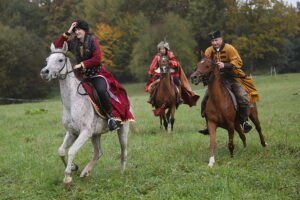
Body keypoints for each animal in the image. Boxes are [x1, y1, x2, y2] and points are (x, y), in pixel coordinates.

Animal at [39, 42, 129, 186]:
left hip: (123, 129)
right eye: (47, 60)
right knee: (98, 153)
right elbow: (61, 151)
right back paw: (85, 172)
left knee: (123, 151)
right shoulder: (72, 133)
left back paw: (121, 172)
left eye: (60, 60)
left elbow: (71, 150)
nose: (44, 72)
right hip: (96, 135)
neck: (72, 102)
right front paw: (73, 167)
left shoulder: (85, 132)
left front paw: (68, 177)